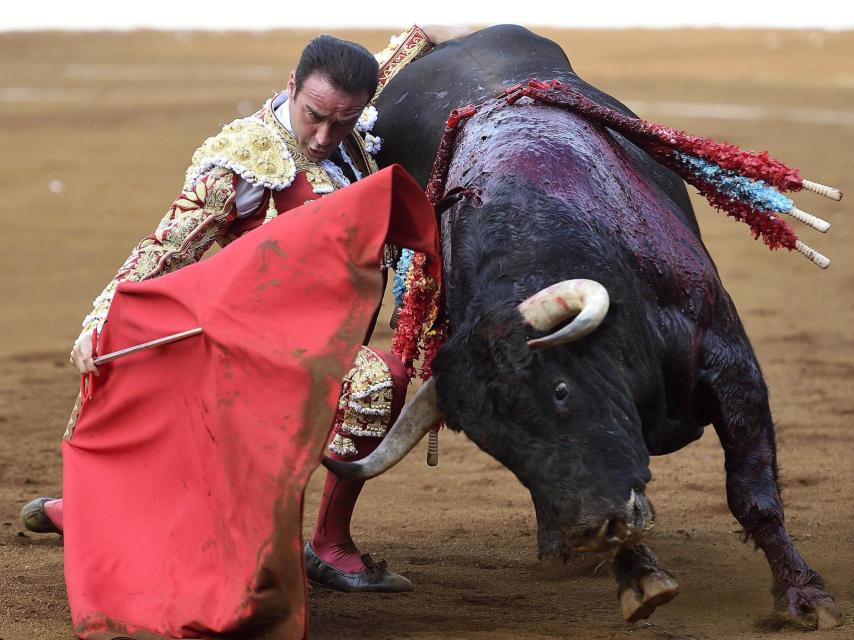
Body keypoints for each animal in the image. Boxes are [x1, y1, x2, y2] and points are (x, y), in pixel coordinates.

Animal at [328, 26, 844, 632]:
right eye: (497, 446)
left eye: (561, 390)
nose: (590, 528)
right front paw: (639, 579)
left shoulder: (731, 363)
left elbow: (753, 493)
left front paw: (804, 598)